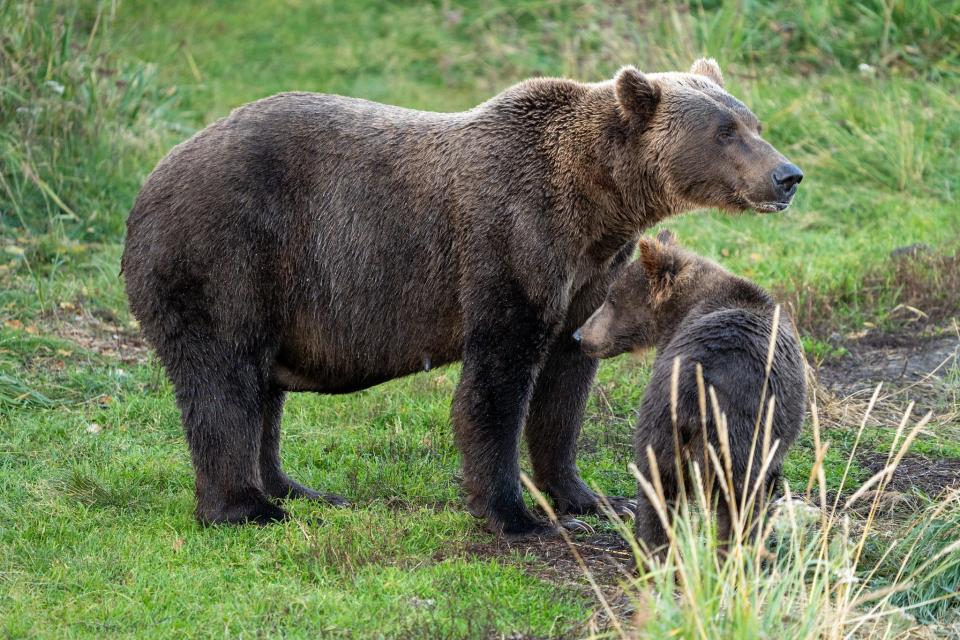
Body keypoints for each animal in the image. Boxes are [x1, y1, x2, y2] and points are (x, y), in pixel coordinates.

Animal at [122, 58, 804, 536]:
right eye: (725, 130)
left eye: (755, 122)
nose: (788, 175)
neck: (595, 204)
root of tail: (149, 181)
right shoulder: (509, 243)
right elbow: (495, 384)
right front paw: (513, 513)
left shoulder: (587, 278)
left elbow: (566, 384)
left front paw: (584, 495)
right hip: (227, 252)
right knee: (223, 377)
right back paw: (247, 507)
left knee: (263, 387)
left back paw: (297, 488)